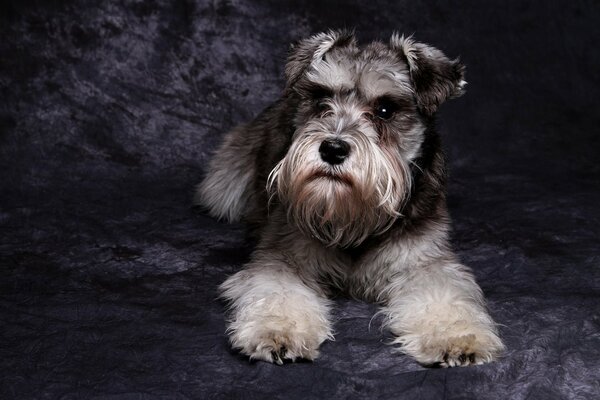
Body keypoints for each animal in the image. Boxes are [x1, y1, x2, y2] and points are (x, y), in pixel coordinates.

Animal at [197, 30, 502, 368]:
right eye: (321, 100)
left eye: (385, 110)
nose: (332, 148)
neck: (353, 219)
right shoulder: (284, 257)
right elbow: (278, 292)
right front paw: (276, 330)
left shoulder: (424, 262)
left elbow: (443, 296)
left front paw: (457, 337)